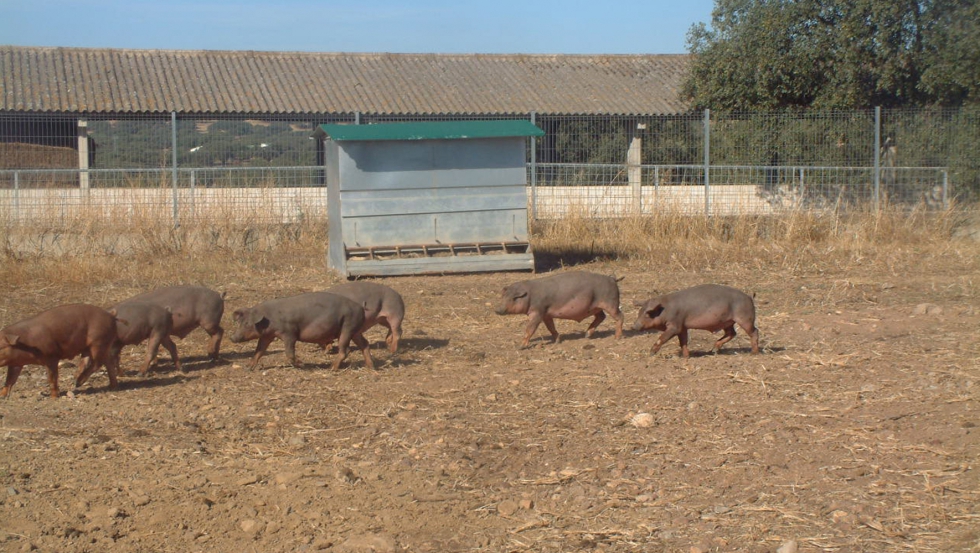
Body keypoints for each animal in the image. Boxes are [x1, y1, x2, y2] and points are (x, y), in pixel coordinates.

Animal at [230, 288, 376, 370]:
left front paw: (303, 365)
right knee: (365, 344)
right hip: (355, 330)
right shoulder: (267, 336)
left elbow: (289, 353)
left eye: (247, 323)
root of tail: (361, 307)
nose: (232, 338)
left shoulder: (289, 333)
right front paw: (247, 368)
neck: (269, 318)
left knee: (345, 350)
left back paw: (331, 368)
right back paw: (371, 367)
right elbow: (259, 351)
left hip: (348, 327)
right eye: (240, 322)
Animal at [494, 270, 624, 348]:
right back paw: (587, 335)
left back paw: (617, 338)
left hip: (611, 302)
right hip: (595, 307)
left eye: (514, 298)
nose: (497, 310)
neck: (530, 296)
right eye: (503, 296)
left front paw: (520, 346)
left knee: (620, 316)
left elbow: (530, 328)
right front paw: (557, 341)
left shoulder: (538, 311)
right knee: (601, 316)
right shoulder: (546, 314)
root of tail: (612, 279)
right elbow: (551, 327)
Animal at [632, 284, 760, 358]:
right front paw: (685, 356)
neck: (665, 309)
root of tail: (749, 297)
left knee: (754, 331)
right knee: (731, 333)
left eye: (648, 314)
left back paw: (753, 353)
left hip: (745, 318)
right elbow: (683, 341)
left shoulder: (675, 325)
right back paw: (713, 351)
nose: (634, 326)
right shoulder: (683, 327)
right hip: (727, 321)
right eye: (639, 312)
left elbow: (662, 338)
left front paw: (650, 353)